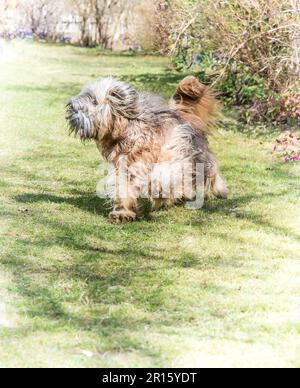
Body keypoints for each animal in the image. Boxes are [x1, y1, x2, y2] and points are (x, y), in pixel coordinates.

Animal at [67, 76, 227, 223]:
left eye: (94, 100)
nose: (70, 106)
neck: (128, 131)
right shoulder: (124, 166)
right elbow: (123, 187)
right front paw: (123, 213)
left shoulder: (172, 153)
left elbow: (163, 175)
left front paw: (157, 190)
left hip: (199, 157)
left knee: (208, 173)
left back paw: (218, 191)